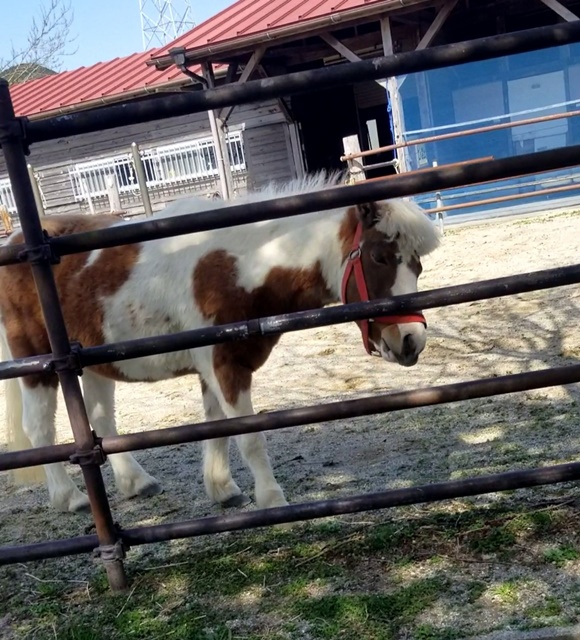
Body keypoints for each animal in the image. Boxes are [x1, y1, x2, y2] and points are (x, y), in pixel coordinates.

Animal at [0, 175, 440, 516]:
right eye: (380, 257)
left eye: (418, 265)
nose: (411, 341)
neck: (238, 268)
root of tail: (16, 241)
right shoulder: (224, 366)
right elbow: (249, 436)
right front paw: (271, 499)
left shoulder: (213, 369)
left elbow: (218, 429)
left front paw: (222, 489)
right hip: (37, 365)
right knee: (39, 428)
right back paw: (70, 497)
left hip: (96, 362)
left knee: (101, 420)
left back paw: (136, 482)